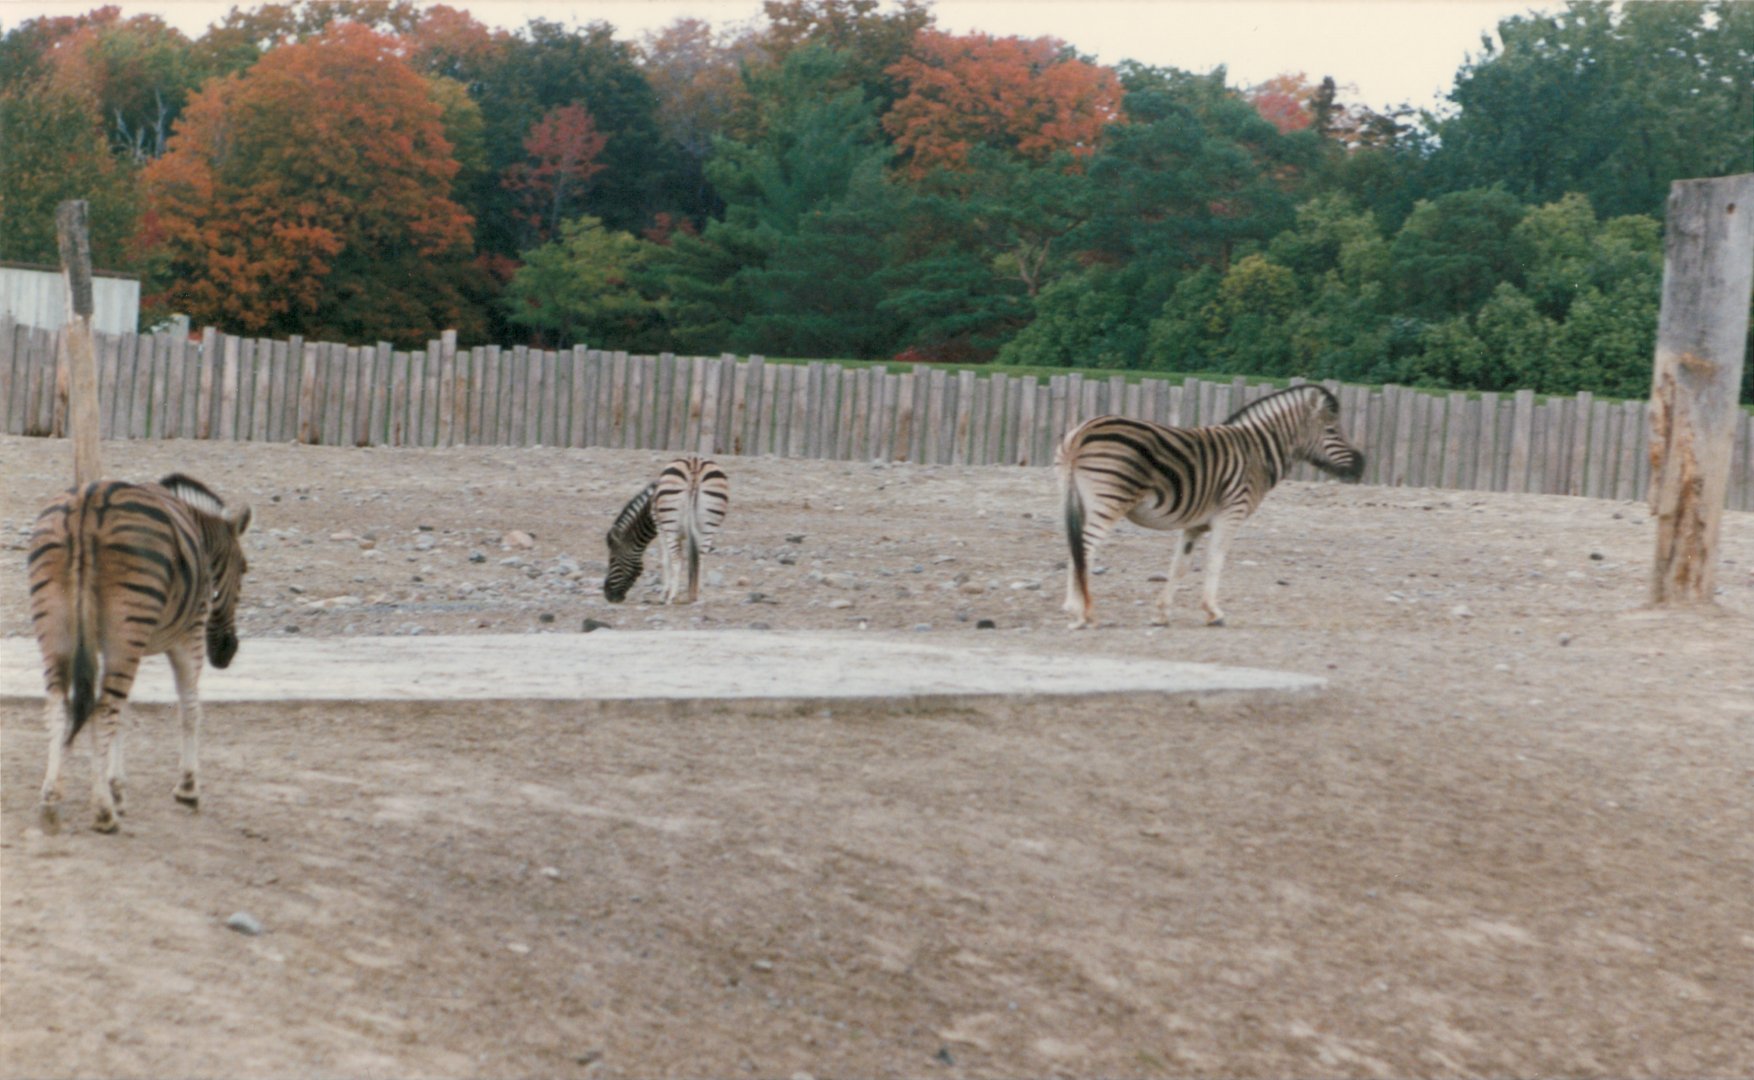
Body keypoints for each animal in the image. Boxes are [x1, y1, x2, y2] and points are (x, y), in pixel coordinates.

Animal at [27, 474, 252, 833]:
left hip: (59, 631)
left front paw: (116, 787)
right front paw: (187, 789)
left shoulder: (107, 647)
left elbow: (124, 716)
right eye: (244, 569)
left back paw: (50, 801)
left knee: (59, 706)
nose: (227, 652)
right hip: (129, 630)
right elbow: (190, 708)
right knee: (102, 709)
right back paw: (103, 814)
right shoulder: (188, 635)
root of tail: (89, 504)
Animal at [603, 456, 730, 605]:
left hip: (671, 524)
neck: (649, 508)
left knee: (677, 560)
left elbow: (666, 560)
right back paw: (696, 596)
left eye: (612, 560)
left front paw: (665, 594)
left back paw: (672, 597)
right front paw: (693, 589)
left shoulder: (661, 528)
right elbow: (691, 560)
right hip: (708, 525)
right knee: (701, 558)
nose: (608, 596)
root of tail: (694, 464)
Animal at [1056, 384, 1364, 629]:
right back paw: (1083, 612)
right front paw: (1214, 612)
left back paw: (1073, 608)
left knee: (1075, 547)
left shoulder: (1194, 525)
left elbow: (1180, 566)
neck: (1258, 454)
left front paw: (1162, 613)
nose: (1361, 466)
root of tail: (1081, 433)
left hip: (1081, 501)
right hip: (1109, 499)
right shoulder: (1231, 514)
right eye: (1332, 430)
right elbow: (1216, 560)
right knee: (1085, 548)